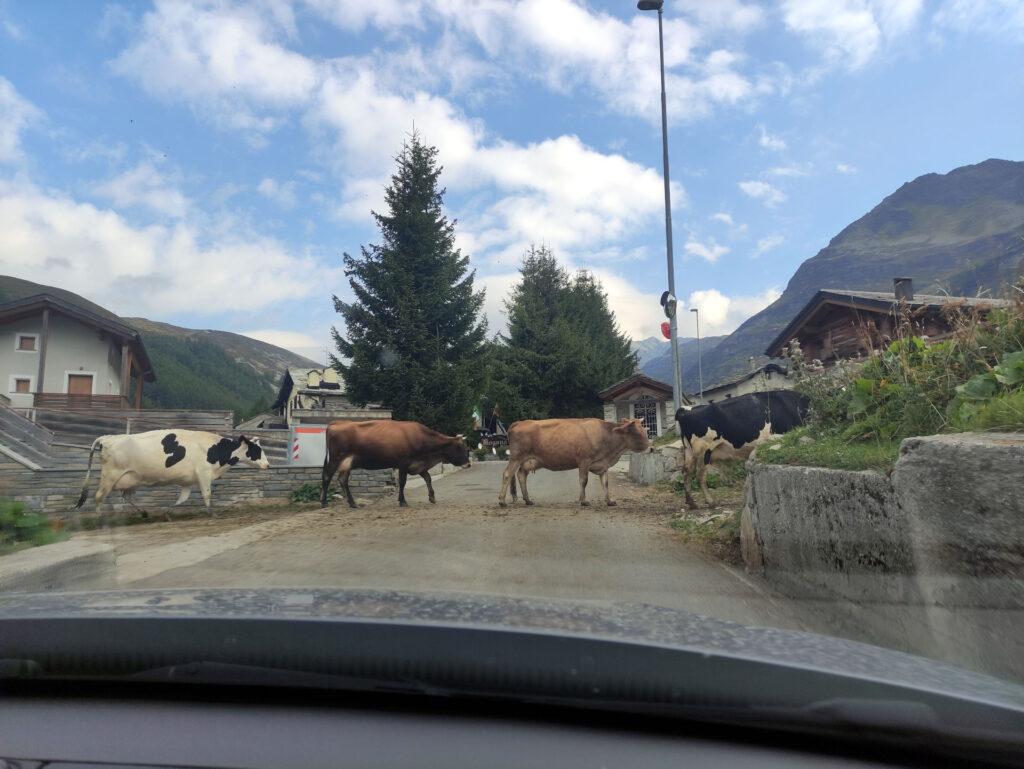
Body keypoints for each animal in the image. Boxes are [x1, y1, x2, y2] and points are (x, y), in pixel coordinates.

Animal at [74, 428, 270, 518]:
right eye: (257, 450)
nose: (268, 465)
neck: (214, 449)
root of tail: (108, 438)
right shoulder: (204, 474)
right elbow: (207, 495)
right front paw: (212, 513)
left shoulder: (188, 481)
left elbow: (182, 499)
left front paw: (167, 512)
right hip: (110, 476)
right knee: (98, 497)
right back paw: (99, 518)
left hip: (130, 479)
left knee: (126, 497)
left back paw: (143, 513)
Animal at [319, 417, 471, 507]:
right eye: (460, 447)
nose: (469, 464)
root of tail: (337, 423)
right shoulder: (403, 464)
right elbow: (402, 482)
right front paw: (402, 501)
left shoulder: (419, 466)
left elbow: (428, 478)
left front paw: (432, 497)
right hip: (336, 459)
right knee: (327, 477)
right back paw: (324, 502)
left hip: (347, 463)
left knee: (342, 480)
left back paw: (352, 503)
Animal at [495, 417, 647, 507]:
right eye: (636, 431)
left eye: (644, 429)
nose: (649, 445)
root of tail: (520, 422)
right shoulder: (584, 460)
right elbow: (583, 480)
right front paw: (583, 500)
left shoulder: (603, 464)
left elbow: (605, 483)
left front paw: (609, 501)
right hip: (516, 457)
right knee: (507, 474)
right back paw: (502, 501)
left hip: (528, 461)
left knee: (521, 475)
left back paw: (528, 500)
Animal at [671, 391, 806, 511]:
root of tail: (685, 410)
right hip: (704, 451)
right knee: (700, 475)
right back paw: (710, 502)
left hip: (689, 451)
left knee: (686, 472)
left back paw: (691, 503)